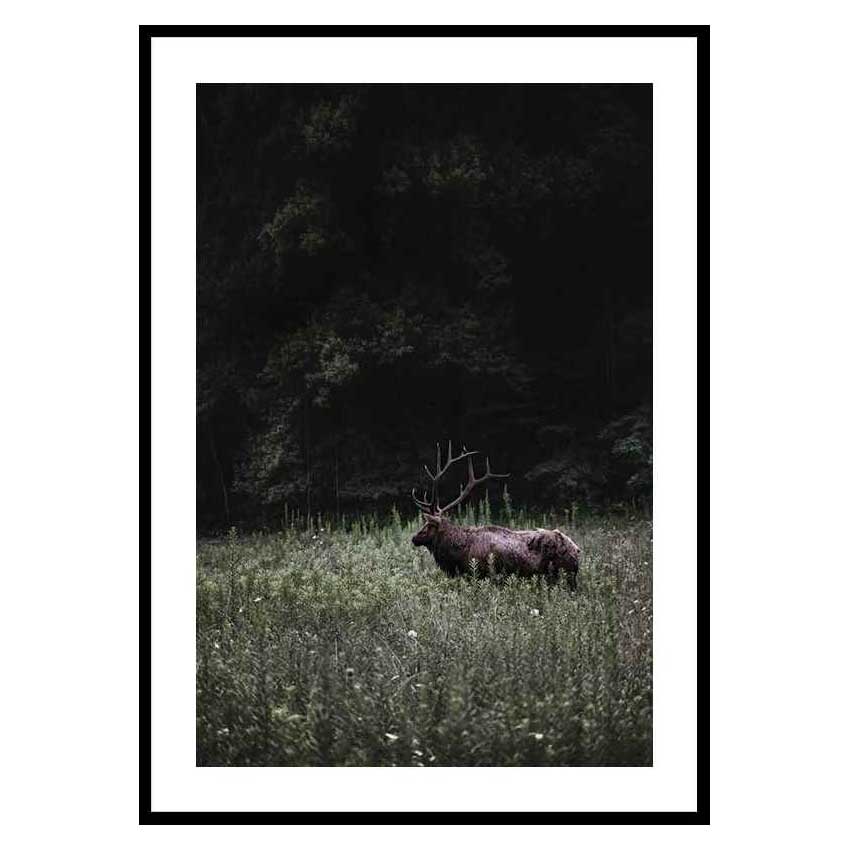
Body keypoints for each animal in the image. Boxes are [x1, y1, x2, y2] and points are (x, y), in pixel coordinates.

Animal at [411, 442, 581, 588]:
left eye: (428, 525)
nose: (414, 537)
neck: (459, 554)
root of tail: (577, 551)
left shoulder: (480, 574)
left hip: (562, 576)